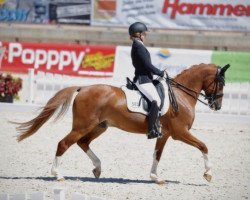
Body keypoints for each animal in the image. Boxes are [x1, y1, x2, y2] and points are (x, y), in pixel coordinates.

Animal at [15, 63, 230, 184]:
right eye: (221, 83)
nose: (217, 105)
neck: (180, 95)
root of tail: (83, 88)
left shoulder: (166, 134)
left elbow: (157, 155)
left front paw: (155, 177)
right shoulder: (180, 133)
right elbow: (204, 146)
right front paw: (208, 174)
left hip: (99, 127)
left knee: (83, 143)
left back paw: (97, 168)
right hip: (83, 126)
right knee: (64, 143)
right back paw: (58, 174)